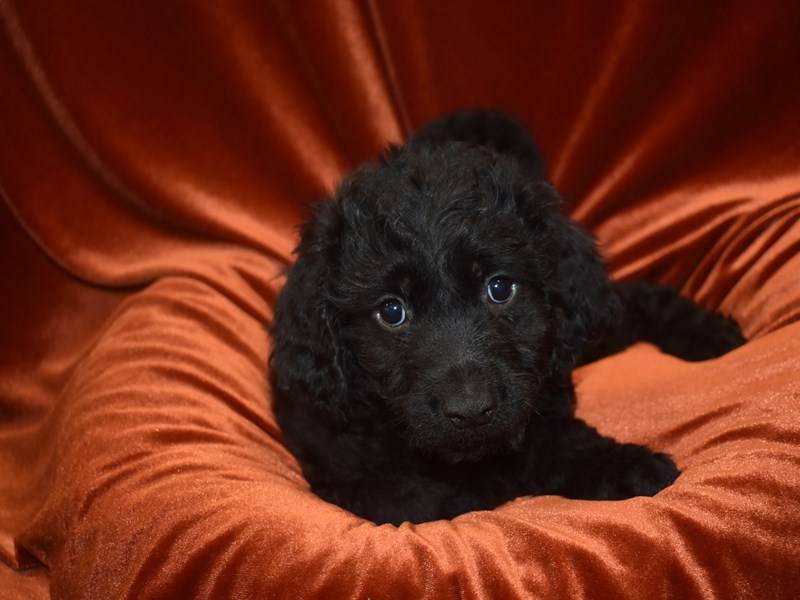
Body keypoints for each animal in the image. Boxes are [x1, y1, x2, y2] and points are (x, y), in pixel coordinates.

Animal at [268, 110, 744, 524]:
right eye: (391, 311)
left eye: (499, 288)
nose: (471, 410)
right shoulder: (349, 468)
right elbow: (424, 500)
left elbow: (564, 442)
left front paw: (624, 464)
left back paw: (711, 334)